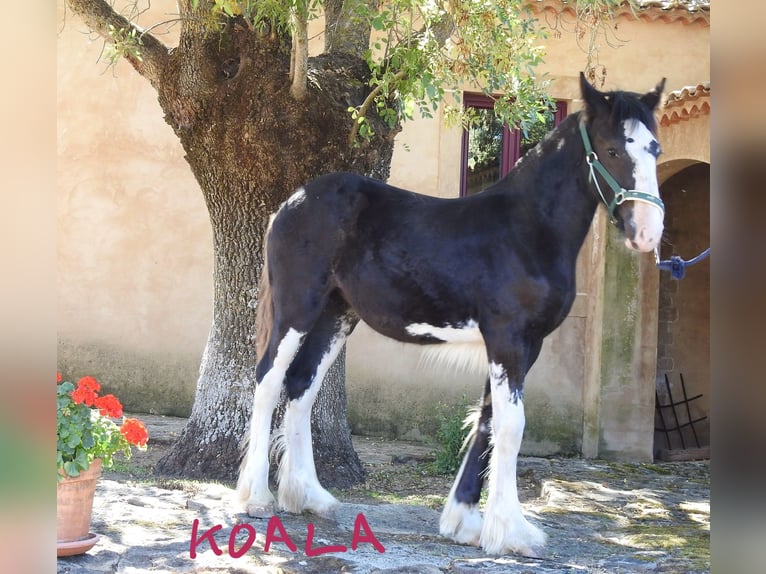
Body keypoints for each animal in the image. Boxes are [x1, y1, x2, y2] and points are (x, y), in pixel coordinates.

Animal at [240, 72, 664, 560]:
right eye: (612, 149)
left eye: (655, 149)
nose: (647, 233)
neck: (526, 231)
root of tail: (292, 201)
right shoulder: (508, 340)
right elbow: (512, 427)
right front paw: (513, 533)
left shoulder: (523, 346)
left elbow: (487, 422)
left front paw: (465, 523)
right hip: (297, 309)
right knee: (268, 381)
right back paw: (256, 498)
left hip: (335, 316)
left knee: (301, 387)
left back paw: (308, 496)